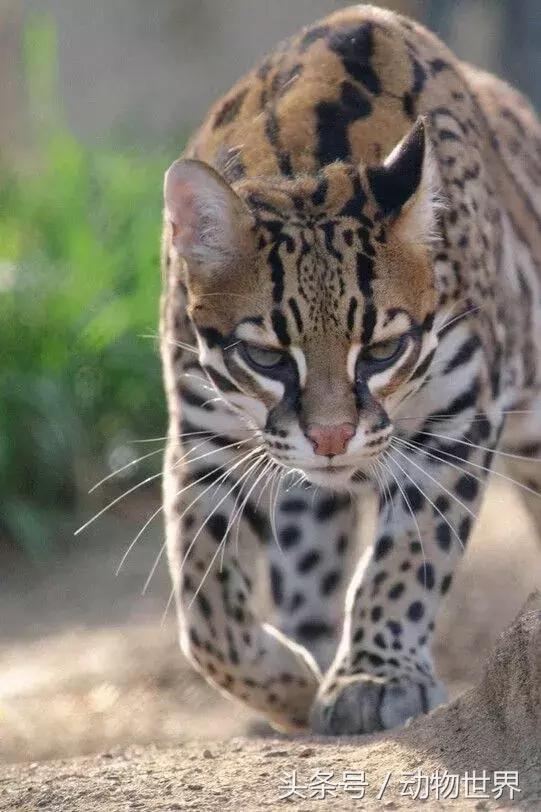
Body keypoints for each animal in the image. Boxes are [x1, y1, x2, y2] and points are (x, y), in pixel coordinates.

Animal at [159, 4, 541, 734]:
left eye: (383, 351)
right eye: (267, 357)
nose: (333, 438)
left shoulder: (456, 414)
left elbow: (407, 554)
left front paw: (373, 676)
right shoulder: (203, 435)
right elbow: (203, 599)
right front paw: (287, 684)